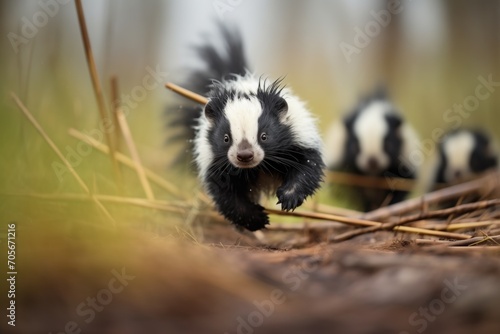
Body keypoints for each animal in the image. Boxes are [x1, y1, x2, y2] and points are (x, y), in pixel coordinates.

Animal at [168, 27, 324, 231]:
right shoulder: (216, 165)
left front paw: (289, 197)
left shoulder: (298, 140)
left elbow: (307, 167)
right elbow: (227, 196)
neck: (259, 167)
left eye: (264, 136)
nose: (244, 155)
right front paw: (256, 219)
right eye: (226, 138)